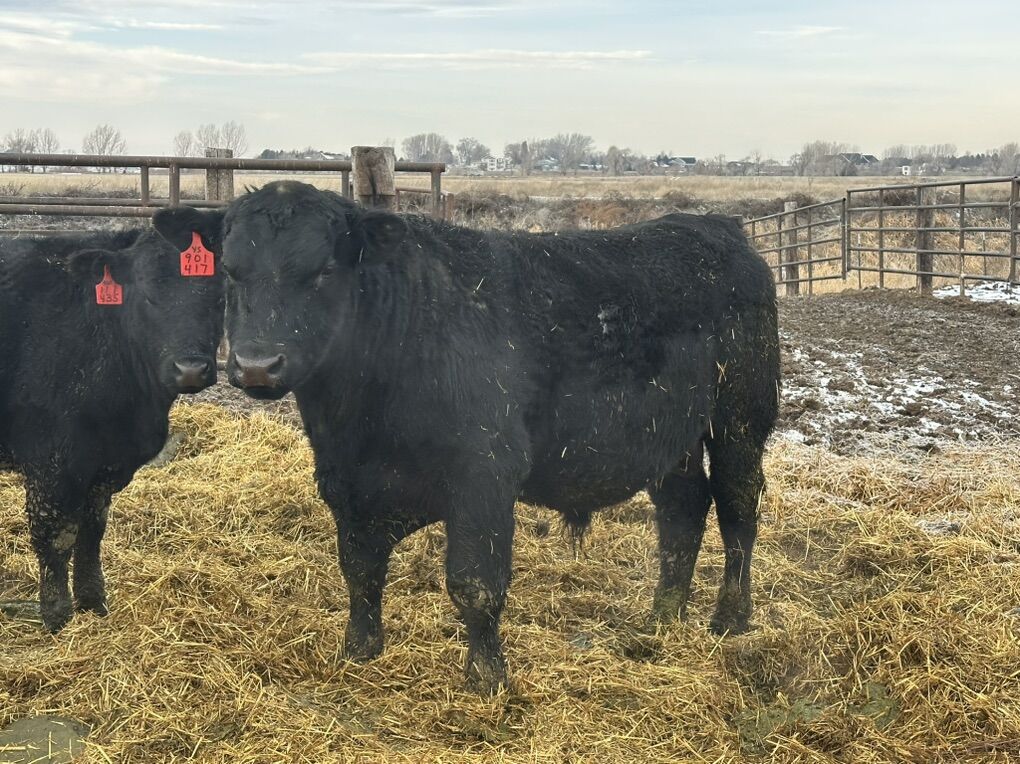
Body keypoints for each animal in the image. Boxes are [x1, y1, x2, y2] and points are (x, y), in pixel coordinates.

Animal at [0, 213, 224, 632]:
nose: (190, 368)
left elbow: (92, 532)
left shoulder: (106, 464)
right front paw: (57, 617)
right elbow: (56, 536)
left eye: (219, 298)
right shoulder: (51, 463)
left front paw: (93, 603)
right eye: (148, 295)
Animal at [156, 180, 780, 692]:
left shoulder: (484, 475)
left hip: (741, 414)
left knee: (738, 505)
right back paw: (663, 616)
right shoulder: (345, 481)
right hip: (668, 435)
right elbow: (359, 569)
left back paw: (730, 617)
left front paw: (487, 678)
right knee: (683, 508)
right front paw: (359, 652)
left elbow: (475, 583)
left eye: (324, 271)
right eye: (231, 272)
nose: (257, 365)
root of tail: (714, 227)